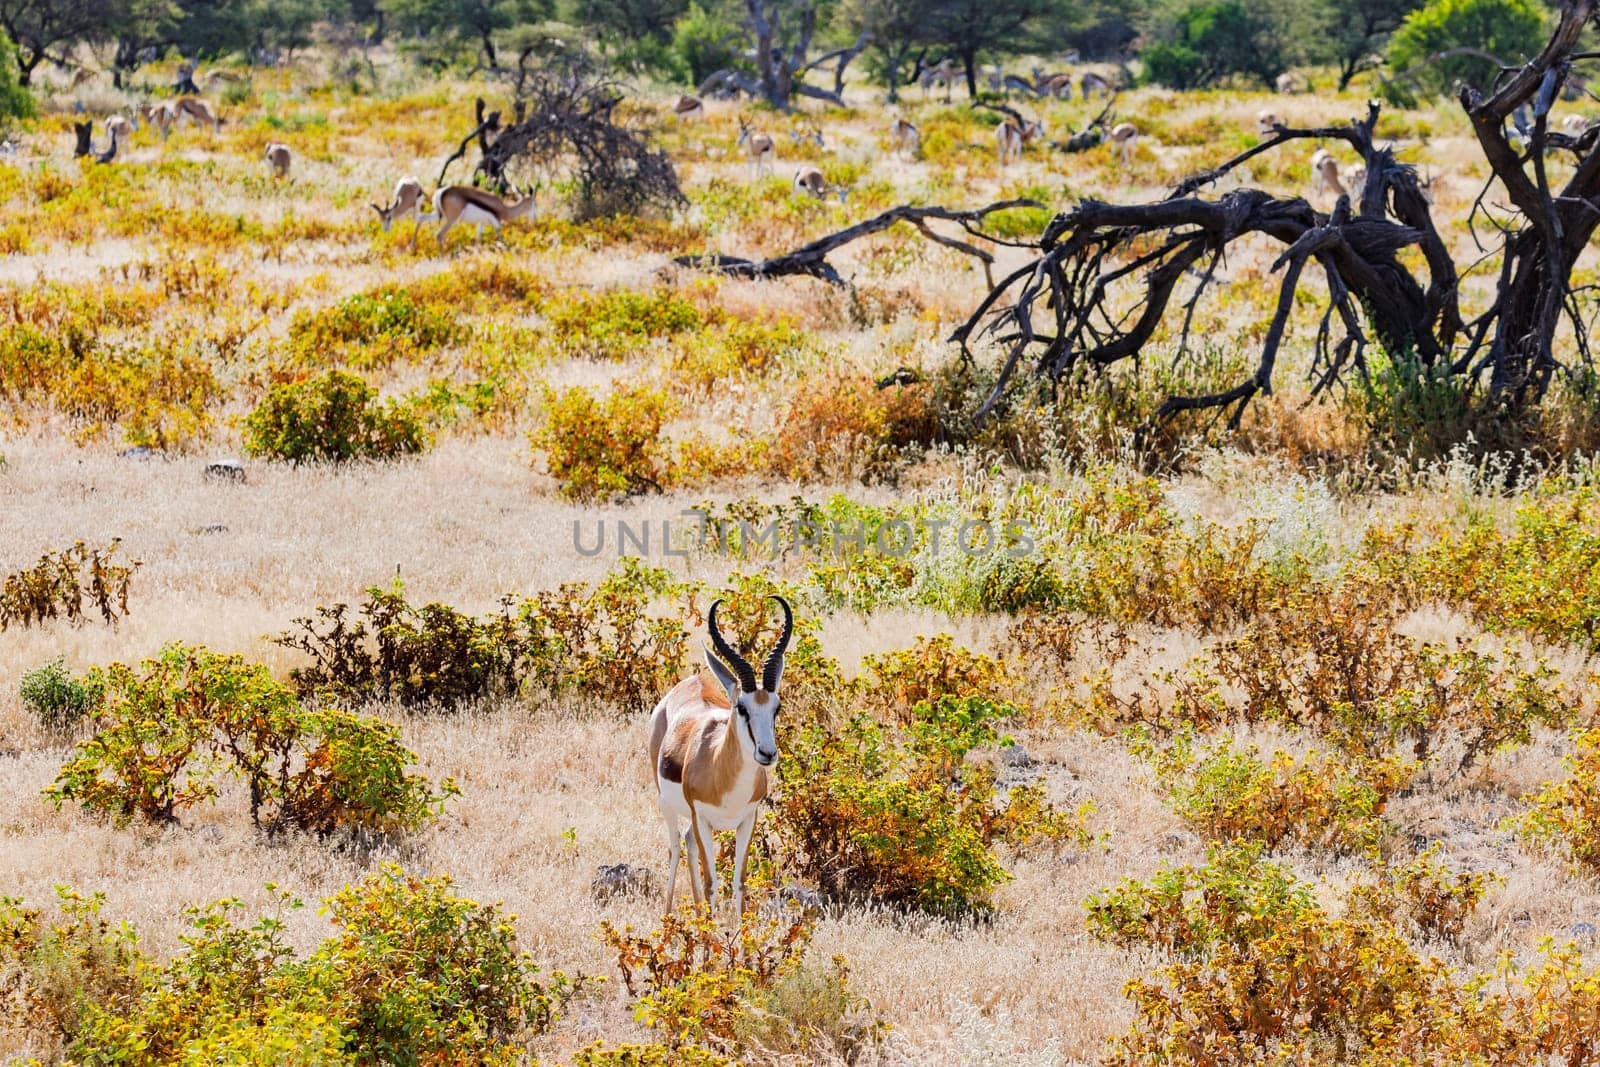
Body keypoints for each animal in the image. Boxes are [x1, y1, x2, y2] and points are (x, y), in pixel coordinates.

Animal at [649, 598, 793, 915]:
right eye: (741, 707)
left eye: (776, 707)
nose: (767, 753)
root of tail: (694, 680)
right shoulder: (702, 818)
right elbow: (712, 883)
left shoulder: (747, 819)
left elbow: (739, 883)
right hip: (666, 803)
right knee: (675, 847)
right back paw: (668, 918)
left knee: (687, 842)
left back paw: (698, 914)